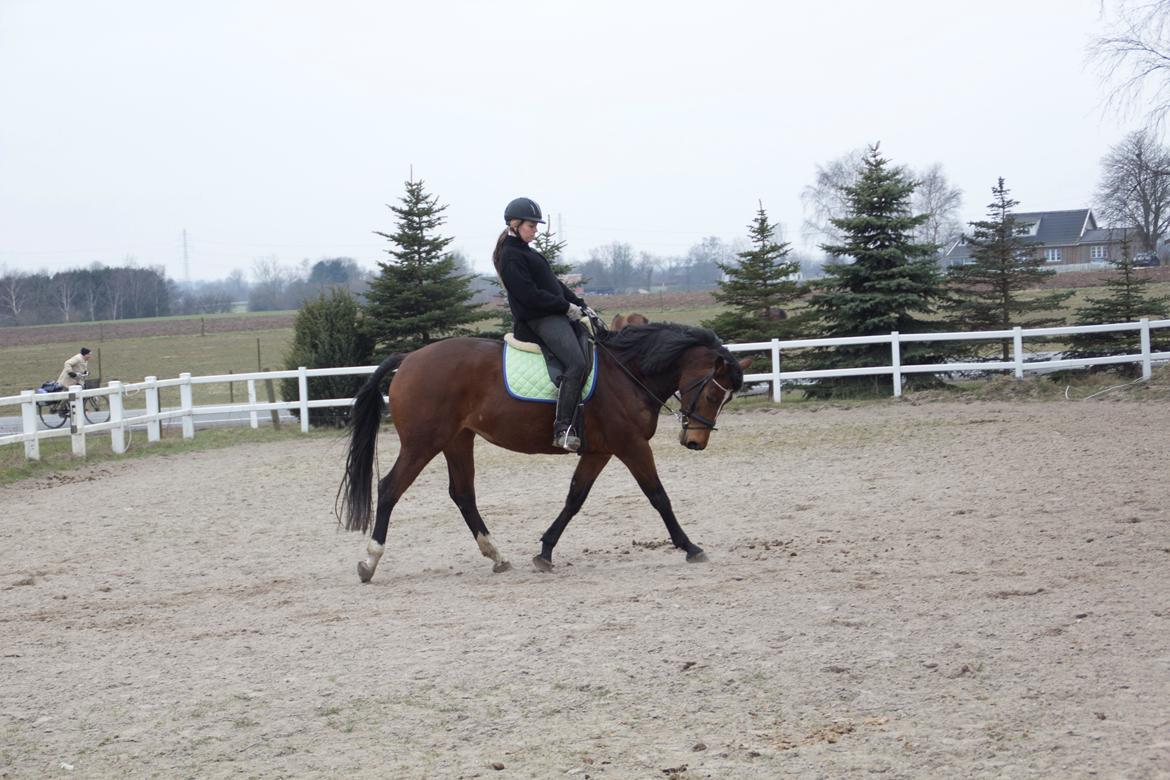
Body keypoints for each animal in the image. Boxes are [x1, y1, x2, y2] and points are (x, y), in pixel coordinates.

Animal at [336, 320, 748, 582]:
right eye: (713, 395)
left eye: (726, 399)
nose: (695, 441)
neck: (628, 372)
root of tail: (409, 358)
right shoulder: (630, 444)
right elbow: (658, 496)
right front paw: (690, 547)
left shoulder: (599, 451)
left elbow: (575, 498)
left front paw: (545, 552)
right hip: (424, 442)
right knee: (390, 488)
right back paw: (369, 561)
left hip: (458, 440)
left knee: (463, 494)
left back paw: (497, 556)